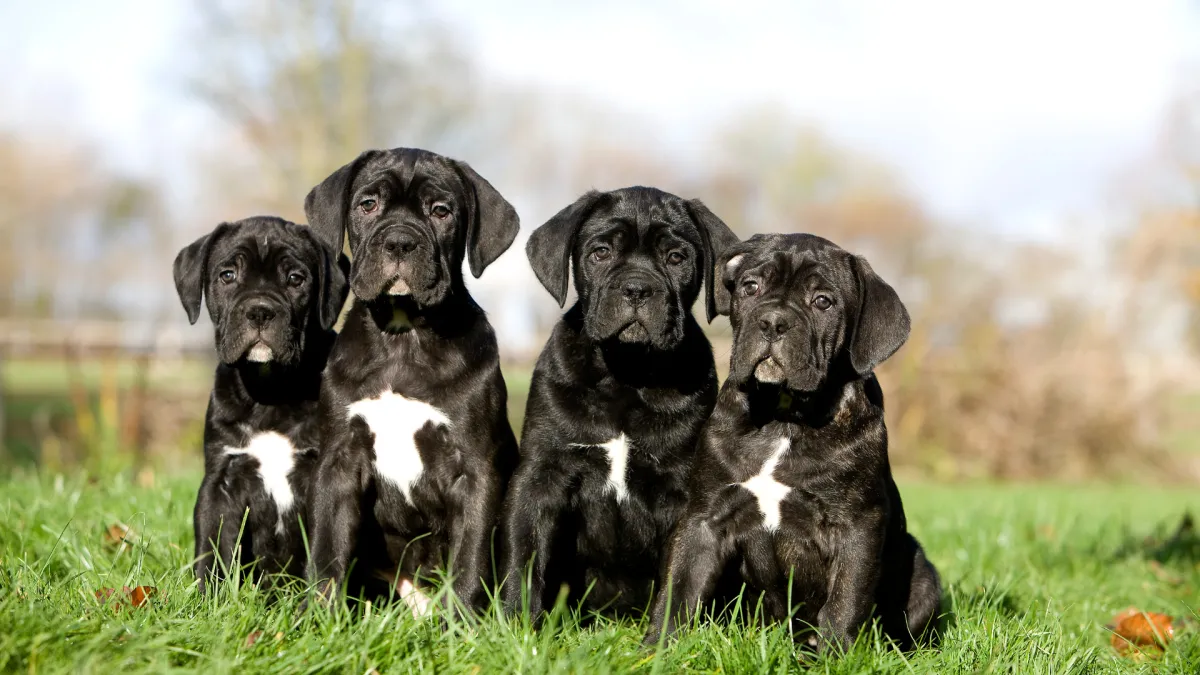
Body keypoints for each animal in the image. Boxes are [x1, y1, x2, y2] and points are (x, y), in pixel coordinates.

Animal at [175, 214, 350, 588]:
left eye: (296, 279)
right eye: (228, 275)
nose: (259, 311)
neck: (271, 393)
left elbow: (322, 550)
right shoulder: (220, 483)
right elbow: (212, 548)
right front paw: (207, 597)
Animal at [302, 149, 518, 612]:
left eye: (441, 211)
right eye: (368, 205)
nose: (400, 242)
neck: (403, 338)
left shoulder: (475, 472)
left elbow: (469, 560)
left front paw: (461, 623)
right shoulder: (338, 464)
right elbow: (327, 552)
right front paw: (319, 618)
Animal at [496, 186, 739, 619]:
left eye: (676, 258)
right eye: (601, 252)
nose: (637, 289)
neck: (627, 374)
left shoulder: (683, 494)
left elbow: (677, 576)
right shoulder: (540, 476)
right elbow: (523, 558)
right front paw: (512, 623)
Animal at [643, 234, 940, 648]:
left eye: (823, 302)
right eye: (750, 287)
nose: (773, 321)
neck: (783, 418)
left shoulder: (857, 528)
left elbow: (845, 601)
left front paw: (836, 654)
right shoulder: (703, 518)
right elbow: (680, 587)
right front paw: (656, 648)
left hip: (923, 573)